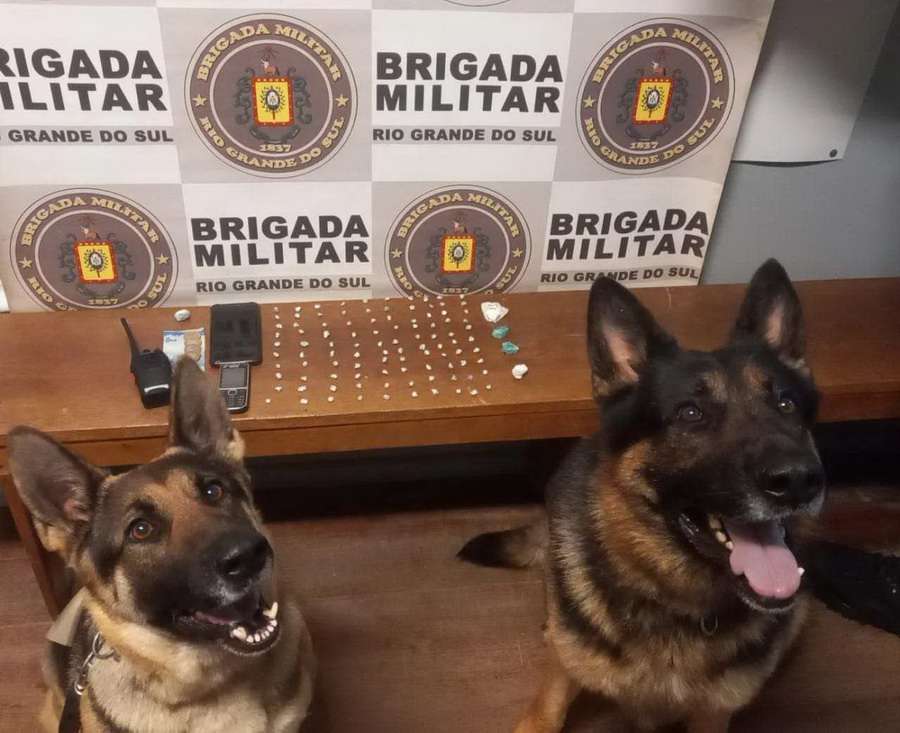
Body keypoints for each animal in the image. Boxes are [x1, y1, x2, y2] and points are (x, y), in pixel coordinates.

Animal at [460, 259, 825, 732]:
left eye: (786, 405)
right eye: (691, 413)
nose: (798, 479)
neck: (677, 604)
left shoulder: (712, 714)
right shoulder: (561, 676)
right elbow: (547, 708)